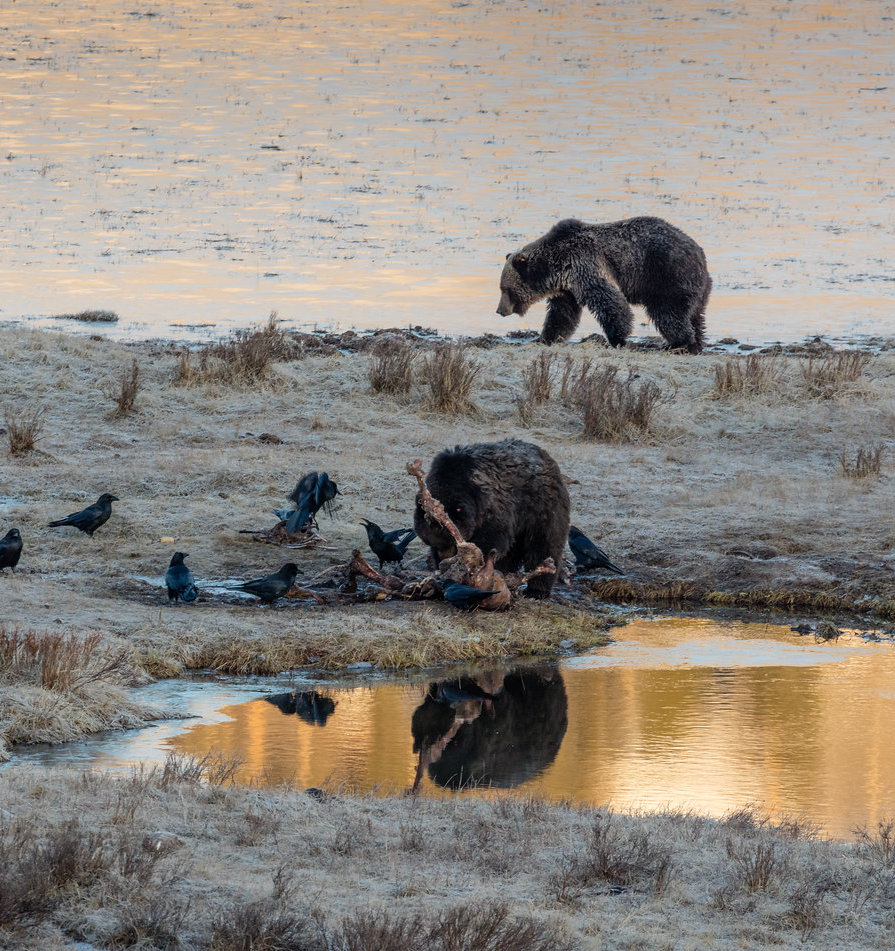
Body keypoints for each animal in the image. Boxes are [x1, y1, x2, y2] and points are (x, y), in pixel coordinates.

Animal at [412, 436, 568, 600]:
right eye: (434, 543)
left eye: (452, 542)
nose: (444, 558)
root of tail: (549, 459)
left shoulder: (491, 507)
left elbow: (491, 540)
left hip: (542, 508)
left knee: (544, 545)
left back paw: (536, 590)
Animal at [500, 216, 712, 354]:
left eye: (505, 289)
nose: (499, 310)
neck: (555, 265)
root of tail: (699, 252)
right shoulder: (567, 289)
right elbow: (562, 315)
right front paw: (544, 337)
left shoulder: (584, 264)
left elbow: (609, 299)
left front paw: (618, 338)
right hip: (696, 288)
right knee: (694, 315)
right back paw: (696, 342)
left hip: (667, 275)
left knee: (668, 312)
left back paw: (676, 344)